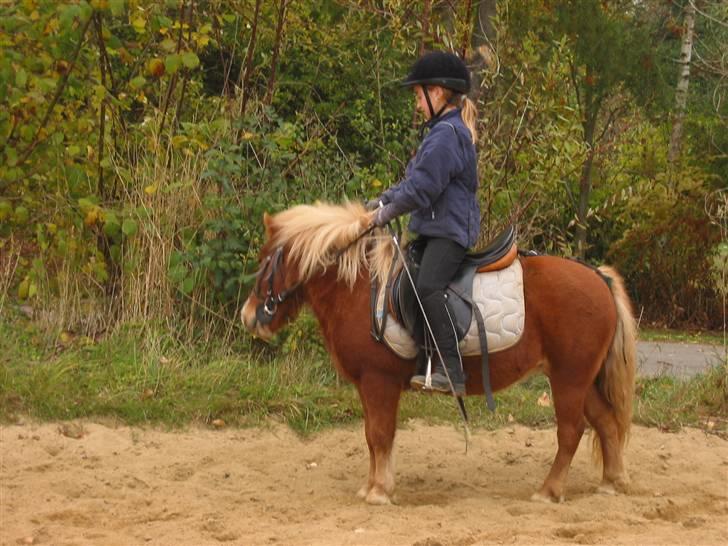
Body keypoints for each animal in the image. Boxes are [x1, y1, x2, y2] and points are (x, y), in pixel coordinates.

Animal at [241, 201, 637, 505]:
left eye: (266, 260)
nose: (249, 316)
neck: (360, 290)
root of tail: (598, 277)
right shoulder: (369, 385)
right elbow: (373, 436)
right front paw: (373, 486)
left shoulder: (378, 381)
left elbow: (379, 434)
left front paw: (379, 491)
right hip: (581, 378)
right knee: (605, 422)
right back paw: (612, 482)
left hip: (569, 377)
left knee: (571, 430)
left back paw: (549, 491)